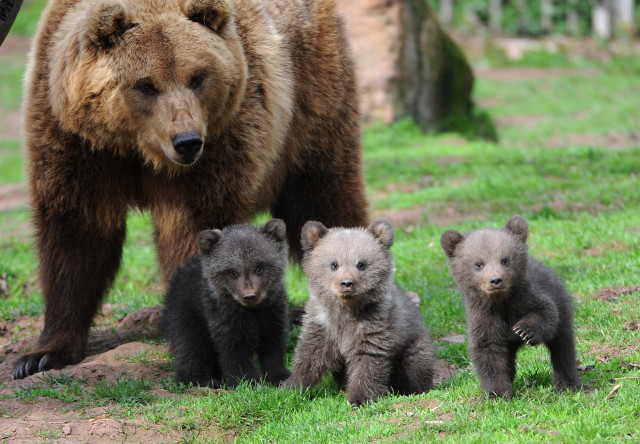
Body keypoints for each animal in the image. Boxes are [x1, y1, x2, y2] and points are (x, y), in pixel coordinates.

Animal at [160, 219, 290, 387]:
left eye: (259, 267)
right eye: (233, 272)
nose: (249, 295)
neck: (251, 310)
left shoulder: (272, 311)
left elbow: (273, 345)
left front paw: (279, 375)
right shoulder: (223, 316)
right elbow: (234, 350)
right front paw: (246, 381)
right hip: (186, 312)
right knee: (191, 345)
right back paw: (199, 379)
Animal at [282, 220, 435, 407]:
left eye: (361, 264)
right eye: (334, 264)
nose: (347, 283)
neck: (346, 311)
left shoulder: (373, 328)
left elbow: (367, 362)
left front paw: (360, 398)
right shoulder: (322, 325)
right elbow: (309, 357)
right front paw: (291, 387)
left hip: (413, 345)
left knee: (415, 367)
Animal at [440, 215, 581, 399]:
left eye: (505, 259)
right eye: (478, 264)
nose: (495, 280)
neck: (500, 303)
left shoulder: (527, 298)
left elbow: (546, 313)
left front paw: (524, 330)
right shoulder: (484, 318)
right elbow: (488, 353)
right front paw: (496, 393)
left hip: (562, 304)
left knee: (563, 348)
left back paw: (566, 384)